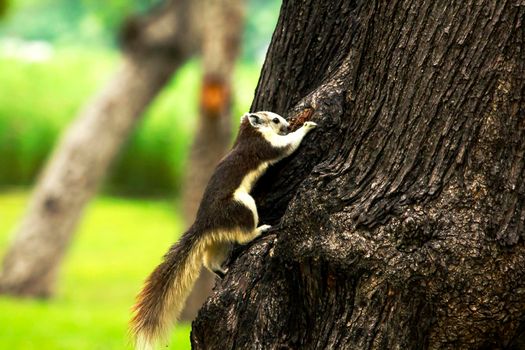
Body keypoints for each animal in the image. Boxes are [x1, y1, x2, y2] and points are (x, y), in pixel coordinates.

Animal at [129, 110, 318, 348]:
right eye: (275, 119)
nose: (286, 124)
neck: (248, 133)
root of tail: (205, 223)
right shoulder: (266, 145)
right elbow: (288, 146)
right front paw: (307, 126)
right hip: (242, 205)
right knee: (244, 236)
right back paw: (260, 230)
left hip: (220, 239)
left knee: (209, 260)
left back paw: (221, 270)